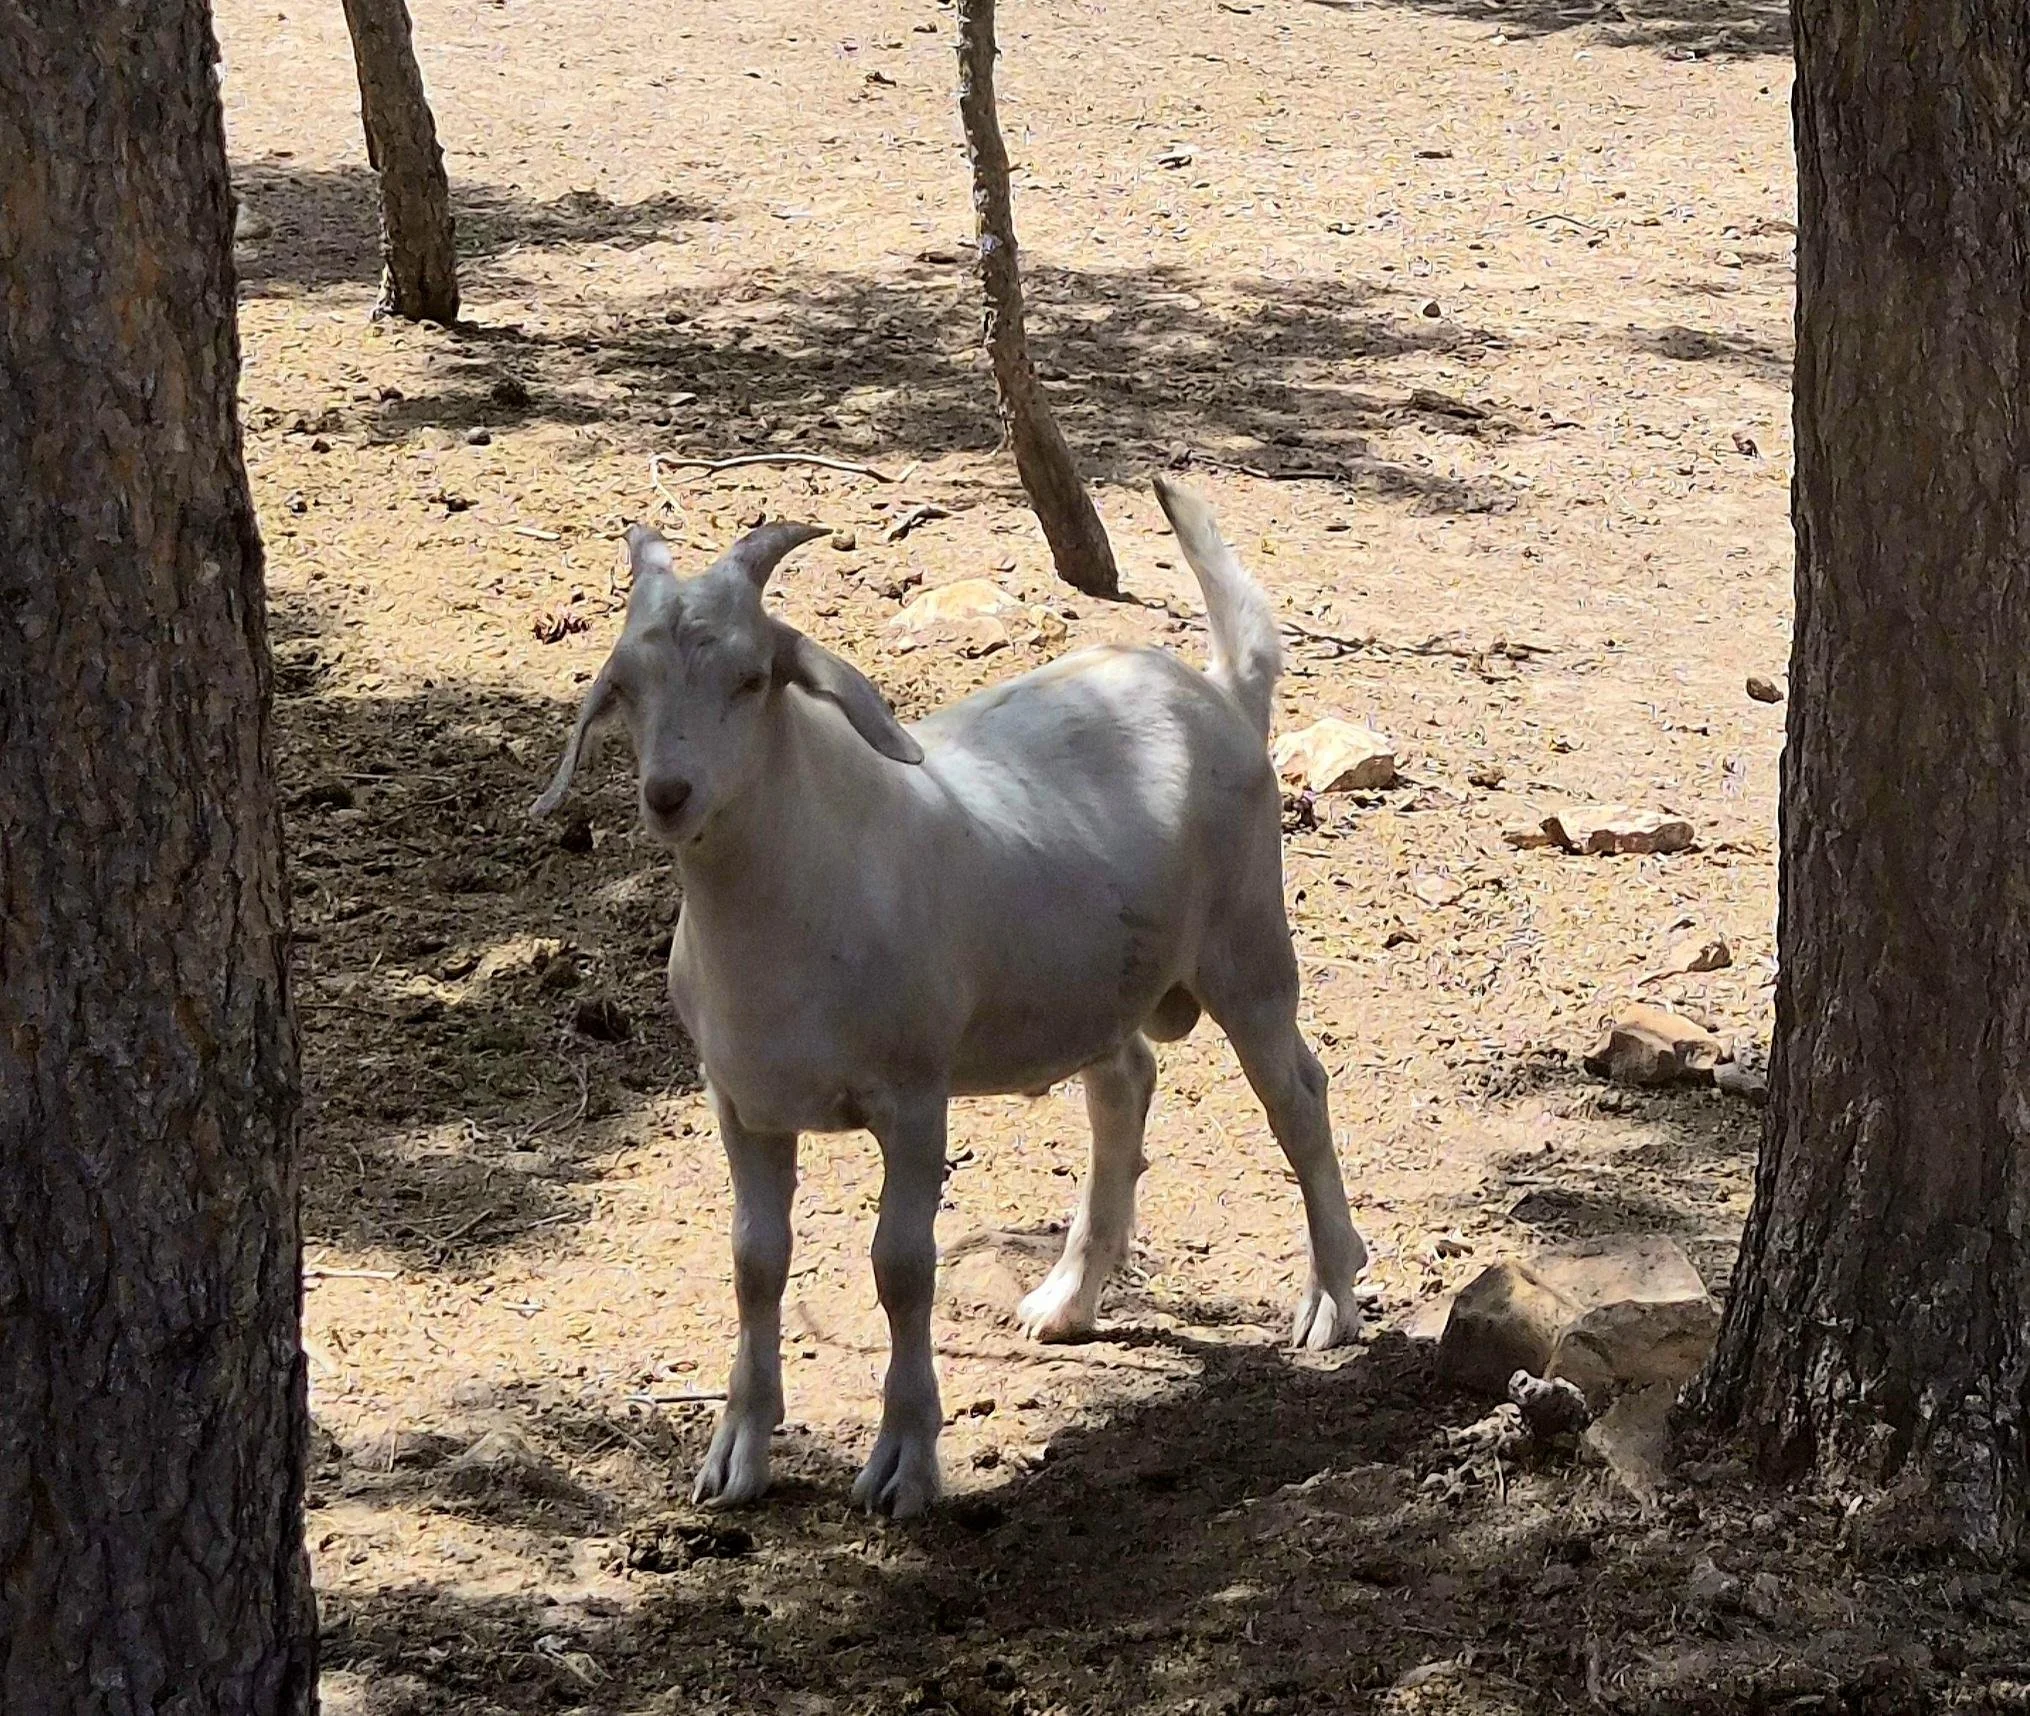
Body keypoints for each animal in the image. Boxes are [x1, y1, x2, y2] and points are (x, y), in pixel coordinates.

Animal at [530, 476, 1369, 1518]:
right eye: (626, 687)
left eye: (753, 679)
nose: (669, 795)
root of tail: (1220, 690)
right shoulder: (742, 1101)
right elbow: (755, 1263)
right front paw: (736, 1456)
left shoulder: (914, 1097)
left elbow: (901, 1268)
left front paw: (904, 1463)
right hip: (1096, 982)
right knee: (1124, 1085)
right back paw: (1067, 1299)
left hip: (1247, 946)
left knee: (1298, 1095)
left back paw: (1331, 1299)